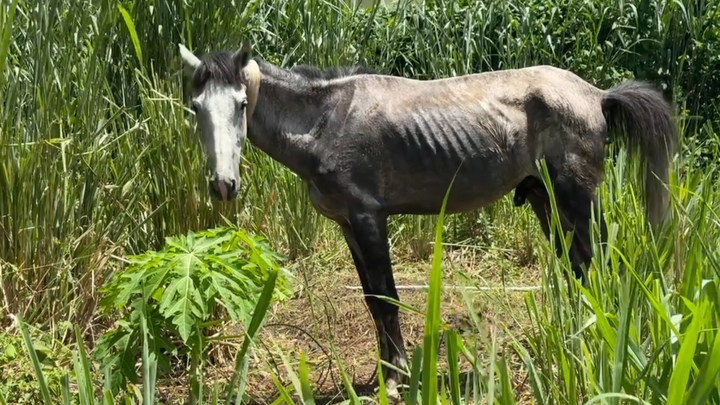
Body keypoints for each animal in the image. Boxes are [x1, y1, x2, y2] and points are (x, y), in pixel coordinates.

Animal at [178, 41, 677, 402]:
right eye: (196, 107)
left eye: (241, 104)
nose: (223, 185)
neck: (326, 121)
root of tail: (596, 94)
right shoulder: (348, 225)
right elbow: (373, 301)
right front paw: (385, 373)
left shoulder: (368, 219)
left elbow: (386, 298)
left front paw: (395, 379)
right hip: (546, 201)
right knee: (579, 265)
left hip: (576, 198)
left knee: (600, 262)